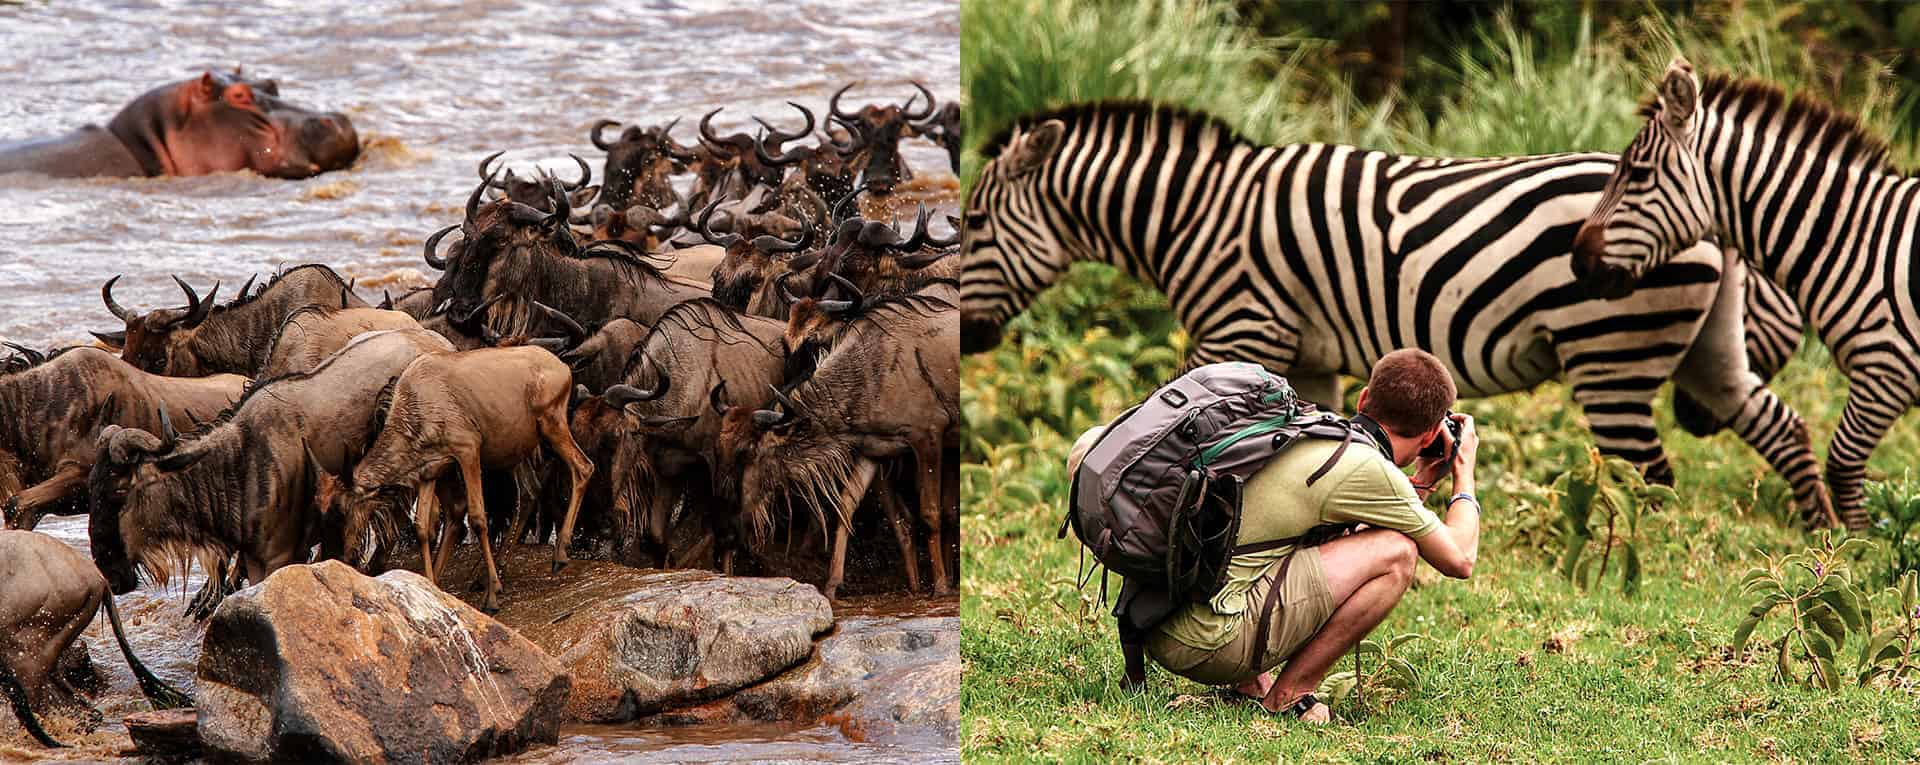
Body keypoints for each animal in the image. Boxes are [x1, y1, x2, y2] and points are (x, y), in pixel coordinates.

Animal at [960, 99, 1827, 518]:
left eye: (972, 225)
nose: (965, 340)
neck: (1195, 211)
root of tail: (1708, 216)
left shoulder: (1242, 322)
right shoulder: (1308, 355)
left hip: (1612, 346)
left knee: (1646, 475)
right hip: (1704, 344)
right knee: (1780, 427)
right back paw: (1825, 535)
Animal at [1574, 58, 1904, 530]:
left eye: (1637, 174)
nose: (1577, 263)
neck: (1861, 244)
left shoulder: (1886, 369)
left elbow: (1842, 463)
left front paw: (1859, 544)